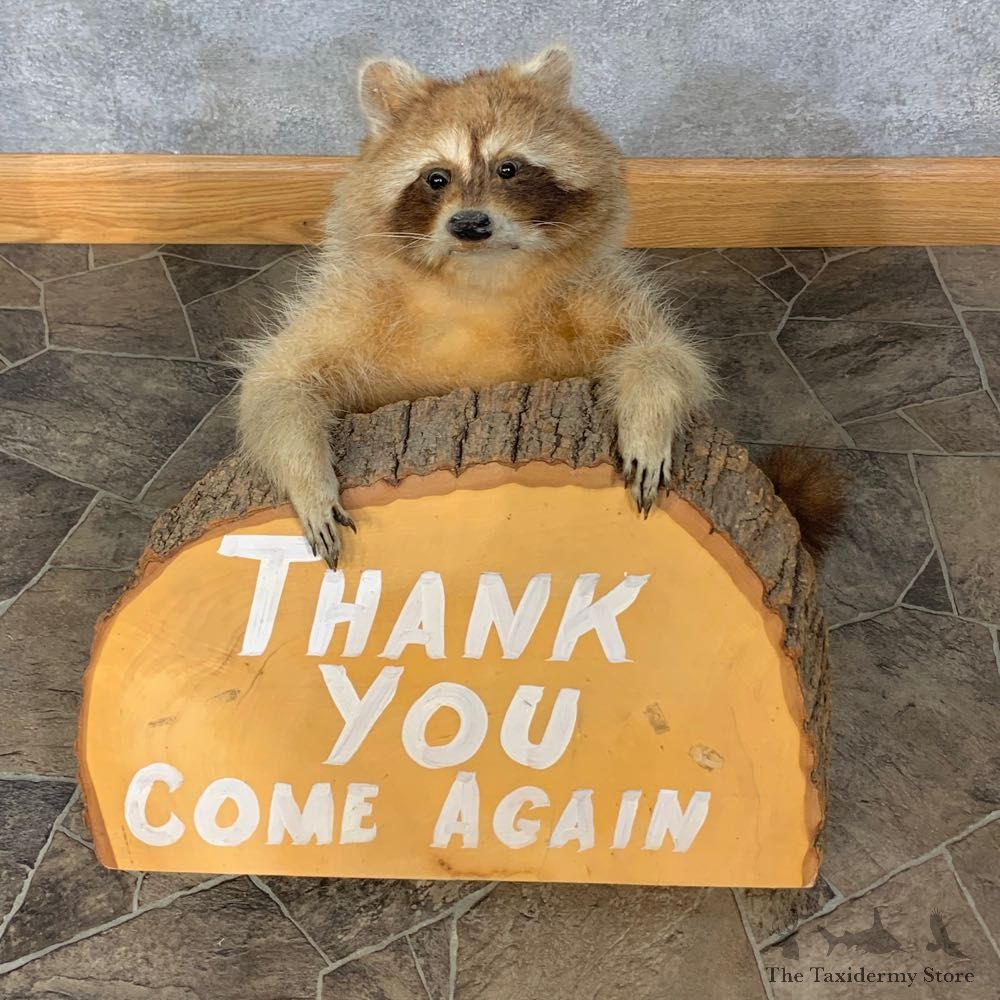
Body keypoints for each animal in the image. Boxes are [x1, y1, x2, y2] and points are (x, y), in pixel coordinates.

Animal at [238, 46, 713, 566]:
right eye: (436, 177)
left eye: (508, 168)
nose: (469, 224)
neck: (480, 278)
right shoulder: (356, 303)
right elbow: (275, 387)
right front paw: (308, 476)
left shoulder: (593, 291)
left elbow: (665, 356)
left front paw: (648, 418)